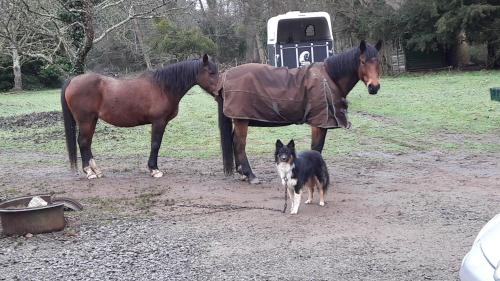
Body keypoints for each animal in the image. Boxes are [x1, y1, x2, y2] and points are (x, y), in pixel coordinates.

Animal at [61, 53, 218, 178]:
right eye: (211, 72)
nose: (219, 92)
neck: (163, 87)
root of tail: (73, 80)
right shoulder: (159, 121)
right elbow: (155, 144)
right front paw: (154, 170)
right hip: (85, 120)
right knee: (83, 142)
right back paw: (89, 172)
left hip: (92, 120)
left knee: (87, 143)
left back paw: (96, 171)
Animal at [216, 40, 382, 184]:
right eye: (362, 61)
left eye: (378, 62)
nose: (374, 87)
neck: (329, 78)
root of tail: (226, 76)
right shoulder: (318, 124)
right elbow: (316, 149)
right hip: (241, 120)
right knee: (239, 144)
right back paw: (250, 175)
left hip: (240, 119)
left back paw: (242, 173)